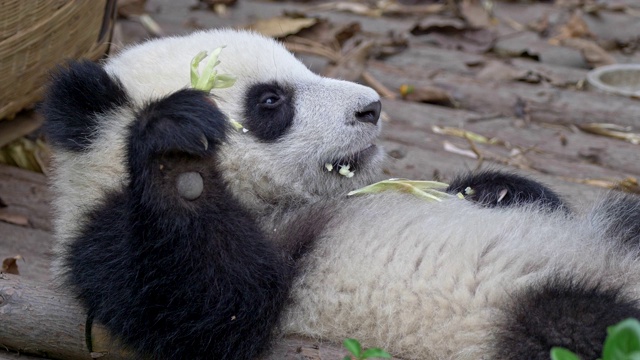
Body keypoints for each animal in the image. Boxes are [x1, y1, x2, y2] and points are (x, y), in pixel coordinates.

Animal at [42, 28, 640, 360]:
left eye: (304, 66)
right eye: (270, 101)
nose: (370, 108)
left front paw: (493, 190)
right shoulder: (108, 249)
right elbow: (213, 305)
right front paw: (177, 145)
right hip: (508, 317)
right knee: (577, 323)